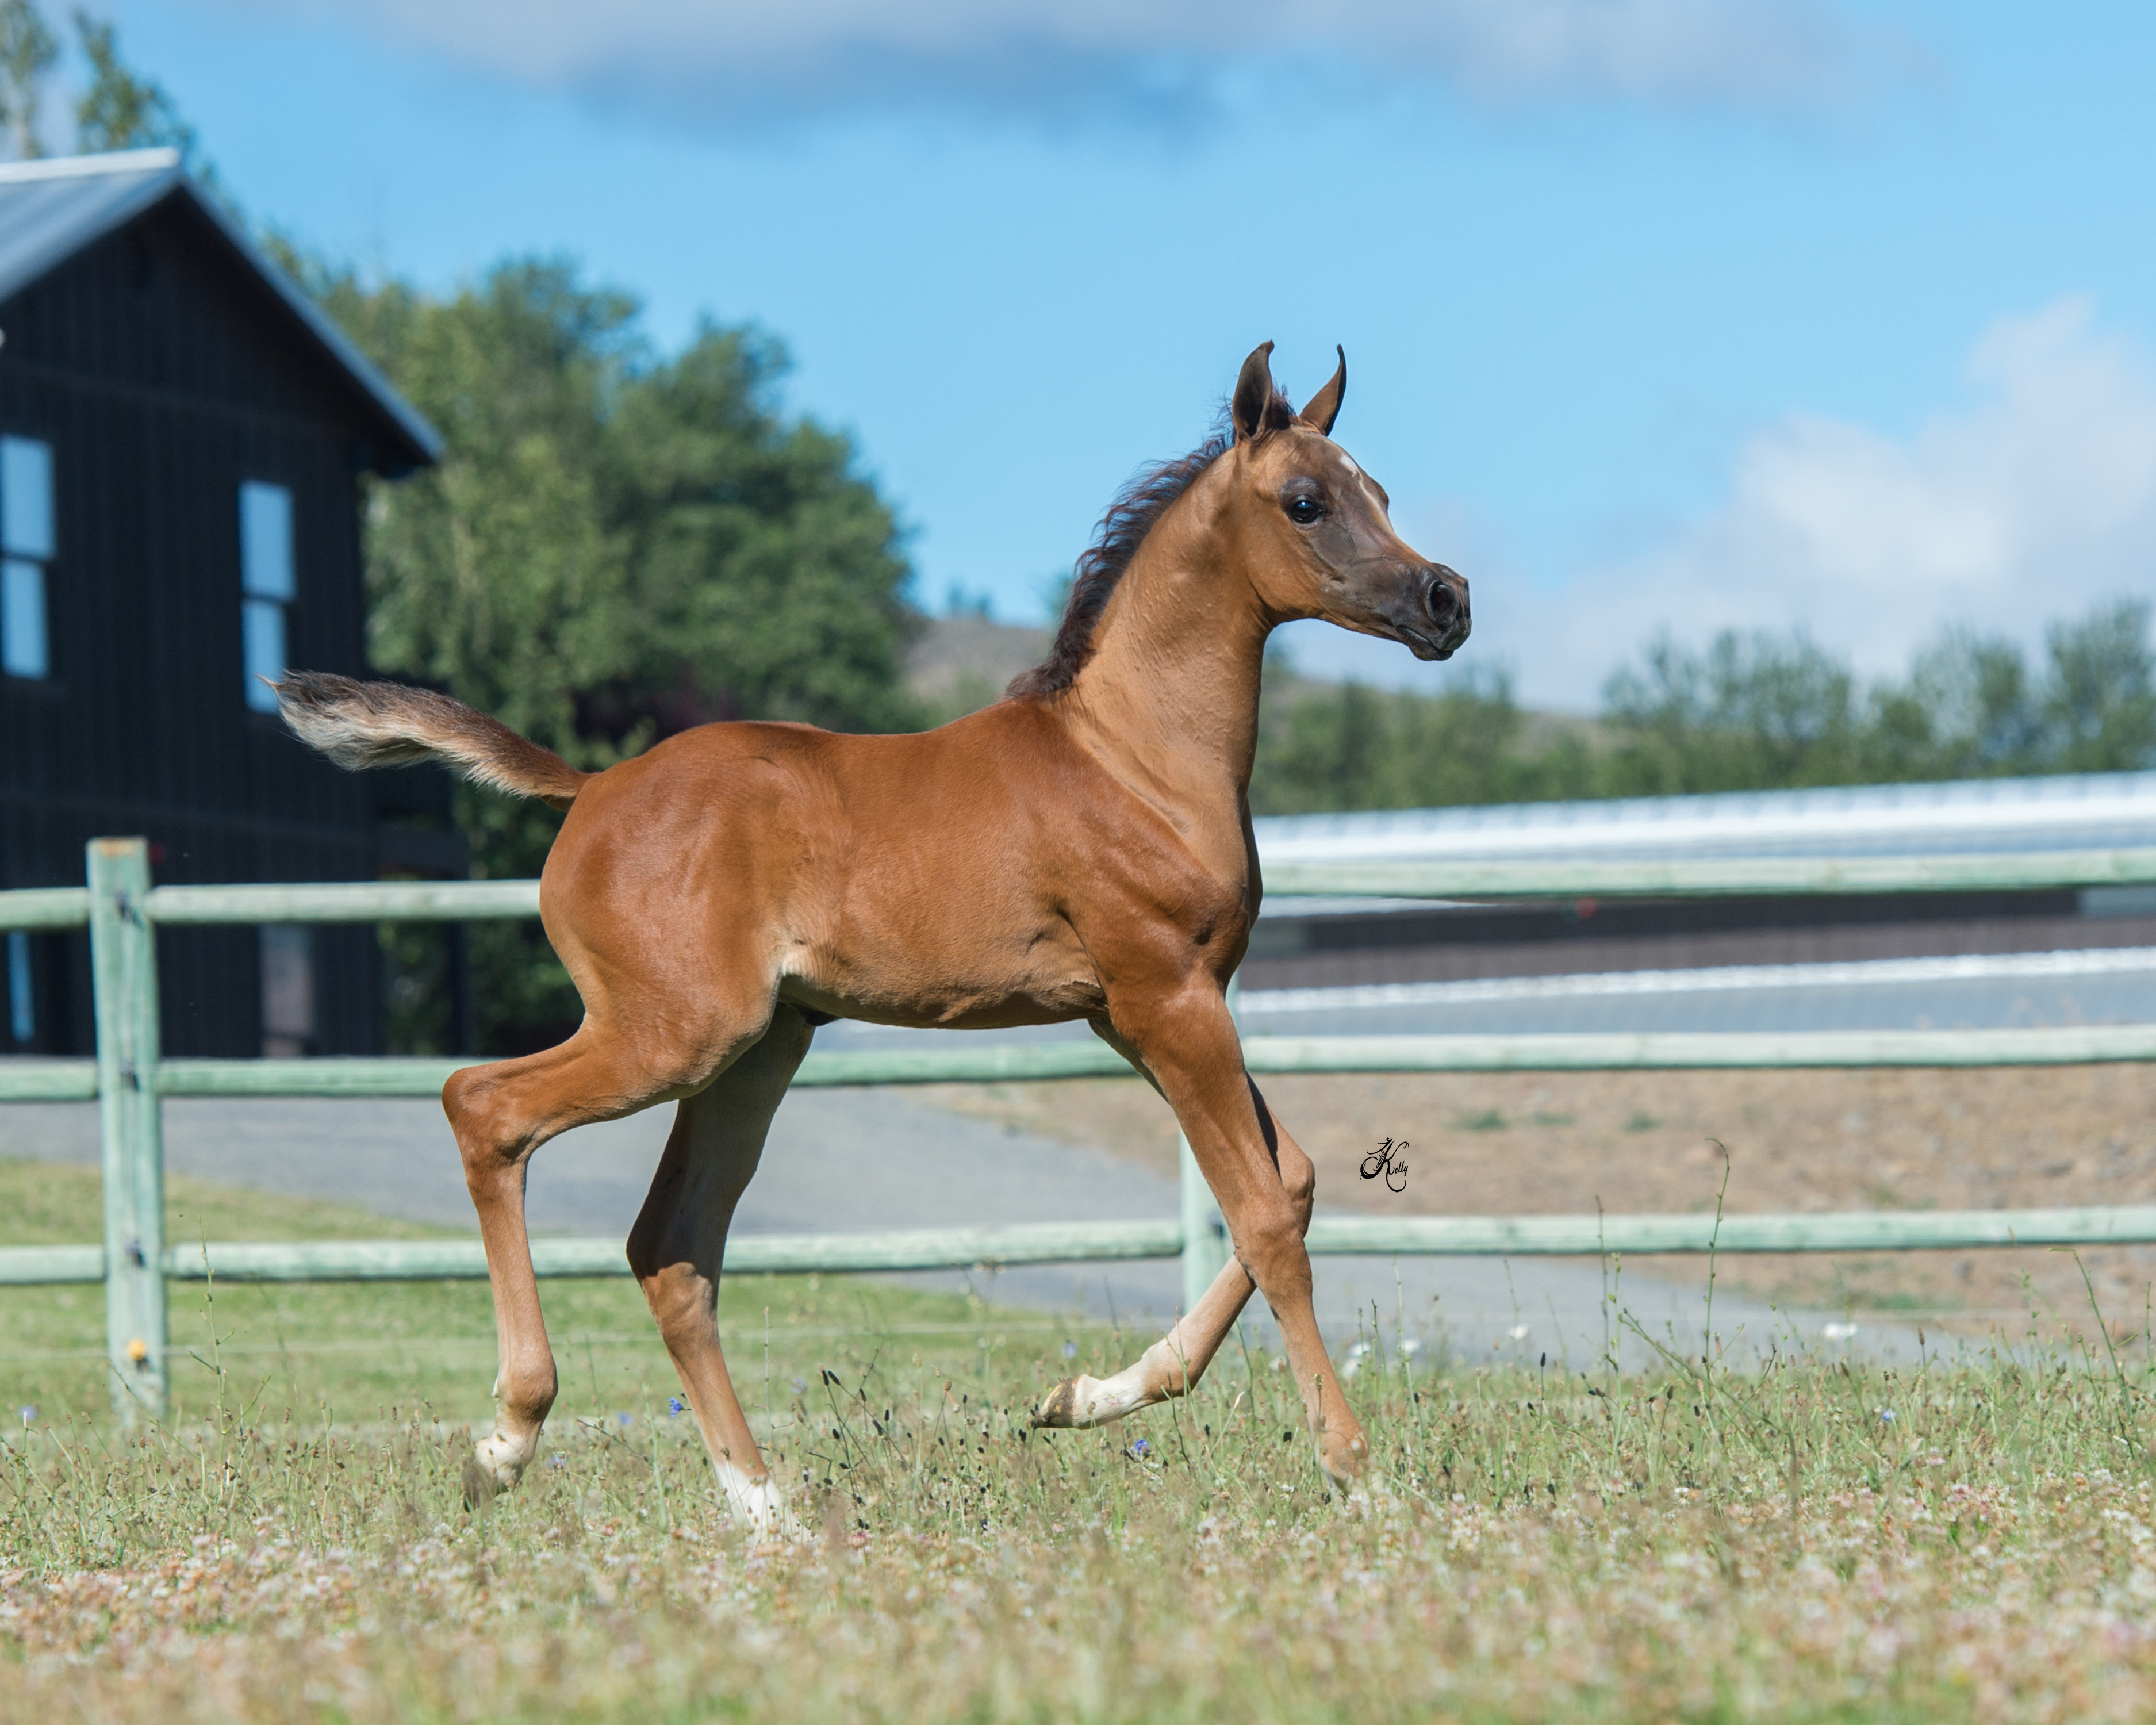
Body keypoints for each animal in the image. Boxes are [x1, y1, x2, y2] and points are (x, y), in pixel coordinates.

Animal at [274, 343, 1466, 1527]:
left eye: (1381, 491)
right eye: (1305, 502)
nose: (1445, 599)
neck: (1132, 756)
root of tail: (591, 786)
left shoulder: (1138, 1011)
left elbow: (1296, 1184)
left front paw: (1082, 1397)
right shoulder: (1163, 996)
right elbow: (1264, 1216)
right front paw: (1356, 1473)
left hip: (757, 1053)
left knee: (670, 1248)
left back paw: (765, 1508)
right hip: (678, 1035)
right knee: (485, 1107)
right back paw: (508, 1441)